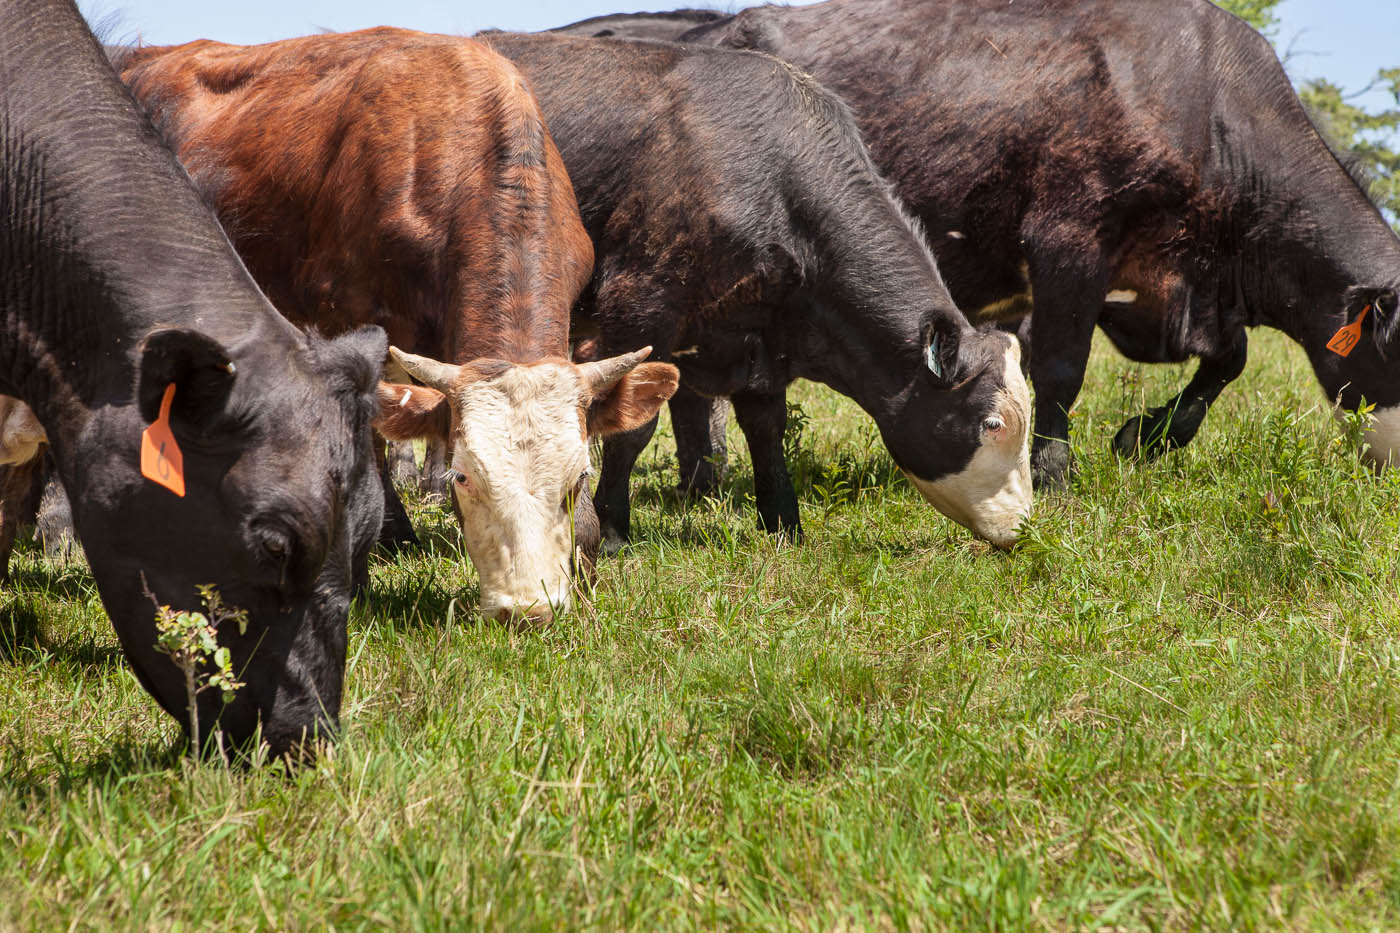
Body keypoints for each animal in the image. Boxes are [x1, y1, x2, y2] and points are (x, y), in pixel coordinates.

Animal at [487, 32, 1036, 549]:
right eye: (991, 423)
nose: (1024, 528)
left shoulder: (761, 335)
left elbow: (767, 428)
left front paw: (783, 523)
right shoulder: (639, 309)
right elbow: (633, 426)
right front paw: (613, 529)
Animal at [557, 0, 1400, 490]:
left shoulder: (1173, 283)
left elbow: (1229, 358)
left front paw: (1149, 436)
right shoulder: (1068, 240)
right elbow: (1061, 370)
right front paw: (1056, 472)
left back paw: (706, 482)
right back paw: (704, 483)